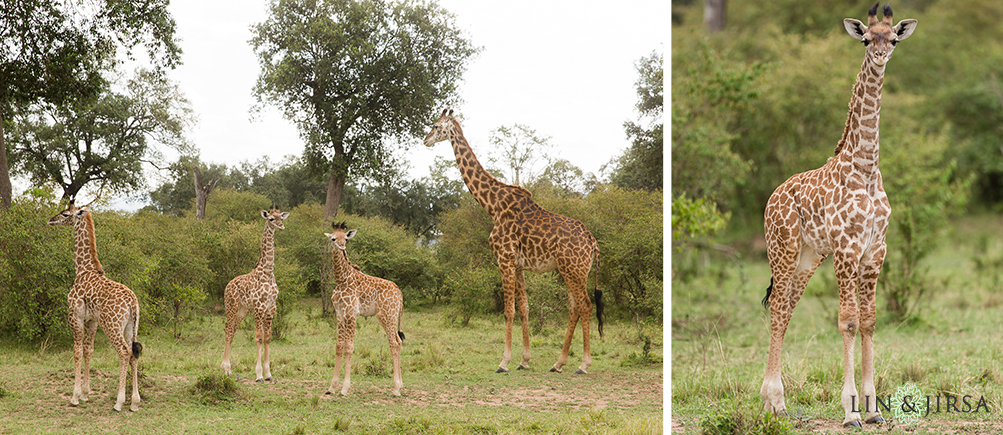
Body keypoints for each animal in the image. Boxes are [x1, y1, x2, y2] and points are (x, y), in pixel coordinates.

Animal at [48, 200, 143, 410]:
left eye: (66, 214)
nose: (51, 220)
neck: (83, 269)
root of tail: (132, 302)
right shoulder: (92, 320)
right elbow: (88, 350)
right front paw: (85, 394)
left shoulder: (75, 316)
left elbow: (77, 351)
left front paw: (75, 397)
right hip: (131, 326)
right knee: (134, 353)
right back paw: (134, 402)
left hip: (112, 326)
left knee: (124, 352)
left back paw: (119, 402)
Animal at [221, 206, 288, 380]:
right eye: (271, 219)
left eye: (281, 217)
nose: (281, 226)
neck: (268, 272)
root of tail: (227, 285)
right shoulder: (259, 307)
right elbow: (258, 337)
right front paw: (259, 375)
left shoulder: (271, 307)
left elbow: (268, 338)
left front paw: (268, 374)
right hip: (231, 306)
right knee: (227, 329)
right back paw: (225, 369)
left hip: (242, 310)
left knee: (232, 331)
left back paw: (228, 370)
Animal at [322, 222, 405, 396]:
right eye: (333, 238)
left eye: (346, 238)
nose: (342, 246)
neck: (341, 279)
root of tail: (400, 294)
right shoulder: (339, 314)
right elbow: (339, 346)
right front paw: (331, 387)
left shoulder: (351, 313)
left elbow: (349, 347)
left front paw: (345, 388)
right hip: (392, 317)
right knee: (399, 341)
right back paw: (401, 385)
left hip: (386, 315)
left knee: (394, 343)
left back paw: (395, 389)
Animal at [423, 108, 601, 372]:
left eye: (436, 126)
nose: (425, 140)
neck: (492, 205)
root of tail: (592, 241)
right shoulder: (518, 265)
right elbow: (524, 309)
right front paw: (524, 361)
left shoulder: (504, 259)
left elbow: (508, 310)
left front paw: (504, 362)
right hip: (571, 271)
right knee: (575, 308)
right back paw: (558, 363)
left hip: (574, 270)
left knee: (585, 306)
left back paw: (583, 364)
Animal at [758, 3, 918, 426]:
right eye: (866, 39)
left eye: (893, 39)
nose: (880, 56)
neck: (865, 168)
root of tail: (771, 197)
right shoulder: (847, 248)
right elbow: (847, 320)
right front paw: (850, 411)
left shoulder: (875, 250)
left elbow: (870, 320)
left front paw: (874, 409)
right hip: (783, 250)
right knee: (777, 310)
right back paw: (773, 401)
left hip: (808, 257)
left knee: (787, 310)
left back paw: (775, 403)